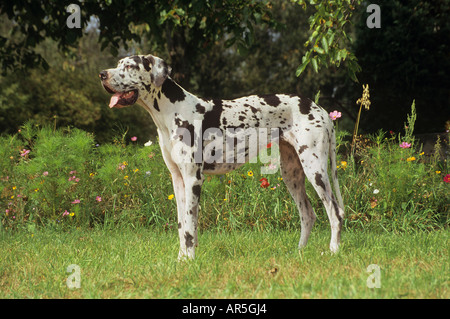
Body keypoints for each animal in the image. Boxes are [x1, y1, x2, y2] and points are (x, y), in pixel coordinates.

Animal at [98, 54, 344, 260]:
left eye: (130, 66)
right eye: (118, 64)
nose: (102, 74)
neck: (171, 111)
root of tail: (320, 109)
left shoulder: (193, 179)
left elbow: (190, 225)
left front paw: (189, 260)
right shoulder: (178, 180)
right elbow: (182, 224)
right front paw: (181, 258)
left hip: (315, 169)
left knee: (335, 212)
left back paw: (333, 250)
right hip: (292, 174)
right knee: (308, 214)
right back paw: (299, 252)